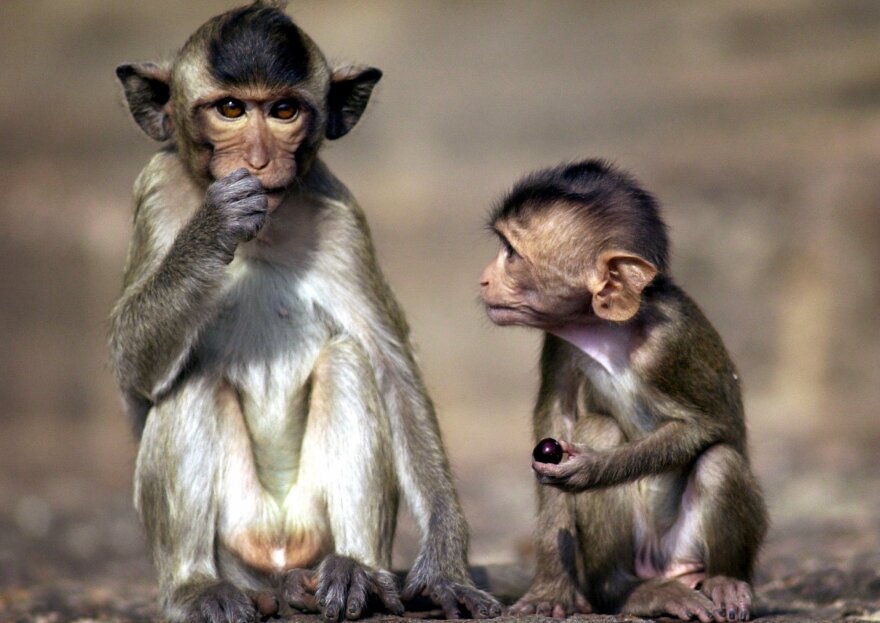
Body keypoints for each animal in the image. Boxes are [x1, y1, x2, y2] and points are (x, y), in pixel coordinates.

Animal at [110, 2, 502, 621]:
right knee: (189, 381)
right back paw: (197, 588)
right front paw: (211, 229)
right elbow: (133, 373)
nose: (258, 159)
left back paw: (354, 572)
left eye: (284, 111)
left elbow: (393, 371)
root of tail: (276, 562)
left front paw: (444, 567)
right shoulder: (153, 194)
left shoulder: (343, 221)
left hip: (309, 527)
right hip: (237, 541)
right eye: (230, 109)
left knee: (349, 361)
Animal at [479, 160, 768, 622]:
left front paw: (592, 470)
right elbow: (555, 417)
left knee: (719, 461)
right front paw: (550, 587)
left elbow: (706, 427)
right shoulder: (560, 339)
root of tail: (663, 565)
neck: (611, 328)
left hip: (687, 548)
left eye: (512, 253)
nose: (485, 279)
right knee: (600, 427)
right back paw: (627, 590)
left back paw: (723, 580)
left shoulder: (671, 344)